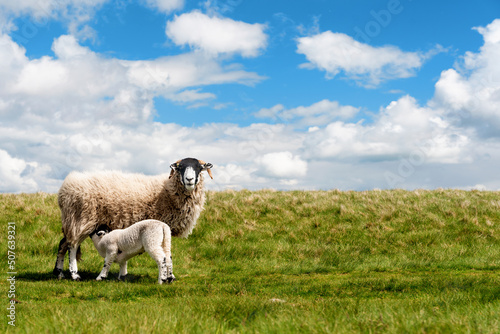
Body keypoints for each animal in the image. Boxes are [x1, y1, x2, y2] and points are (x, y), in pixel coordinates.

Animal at [53, 158, 213, 280]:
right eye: (180, 167)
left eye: (199, 167)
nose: (189, 179)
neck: (168, 190)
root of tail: (65, 187)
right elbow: (166, 253)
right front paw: (168, 276)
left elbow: (168, 252)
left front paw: (170, 276)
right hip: (80, 219)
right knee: (72, 246)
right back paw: (74, 275)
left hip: (74, 221)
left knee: (63, 244)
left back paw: (59, 273)